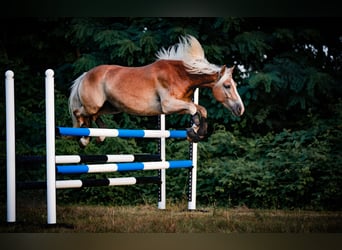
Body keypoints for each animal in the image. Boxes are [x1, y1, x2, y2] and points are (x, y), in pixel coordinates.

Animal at [69, 33, 244, 146]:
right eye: (227, 86)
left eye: (234, 85)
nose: (240, 109)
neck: (182, 75)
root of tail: (85, 75)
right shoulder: (168, 105)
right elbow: (194, 109)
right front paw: (194, 131)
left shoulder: (178, 105)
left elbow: (202, 110)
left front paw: (197, 132)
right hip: (94, 105)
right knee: (79, 113)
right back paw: (84, 138)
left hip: (110, 107)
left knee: (93, 117)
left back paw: (99, 136)